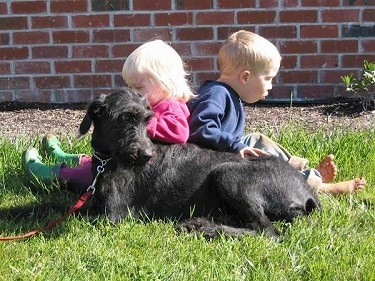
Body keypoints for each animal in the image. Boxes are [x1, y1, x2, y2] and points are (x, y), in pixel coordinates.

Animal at [80, 88, 324, 237]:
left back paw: (204, 228)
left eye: (147, 120)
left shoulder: (113, 215)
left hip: (228, 175)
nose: (147, 155)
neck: (108, 158)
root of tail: (308, 192)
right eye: (124, 118)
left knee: (268, 232)